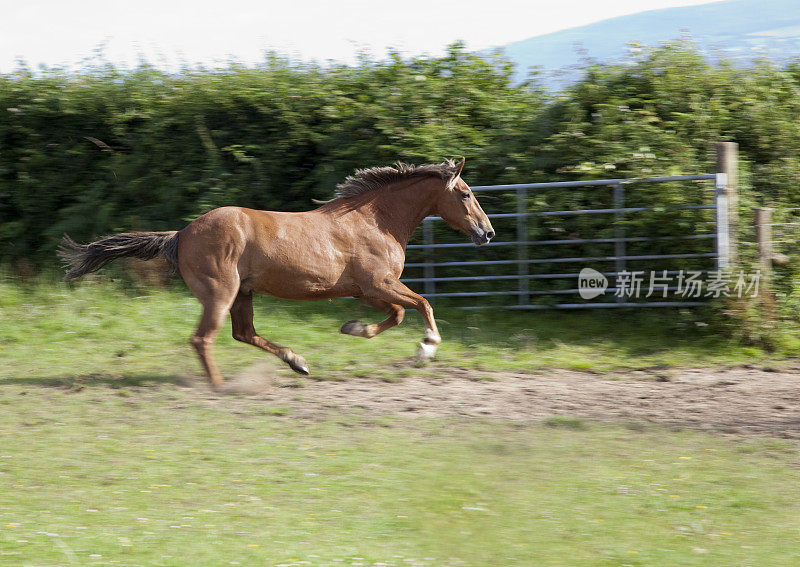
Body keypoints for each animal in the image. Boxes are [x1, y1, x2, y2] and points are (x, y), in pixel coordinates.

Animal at [59, 160, 494, 390]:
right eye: (466, 194)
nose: (487, 233)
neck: (374, 221)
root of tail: (181, 234)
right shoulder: (379, 284)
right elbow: (423, 303)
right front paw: (426, 349)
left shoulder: (367, 291)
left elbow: (399, 313)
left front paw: (353, 328)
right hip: (221, 293)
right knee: (204, 338)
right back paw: (221, 385)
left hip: (243, 294)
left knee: (243, 333)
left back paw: (297, 362)